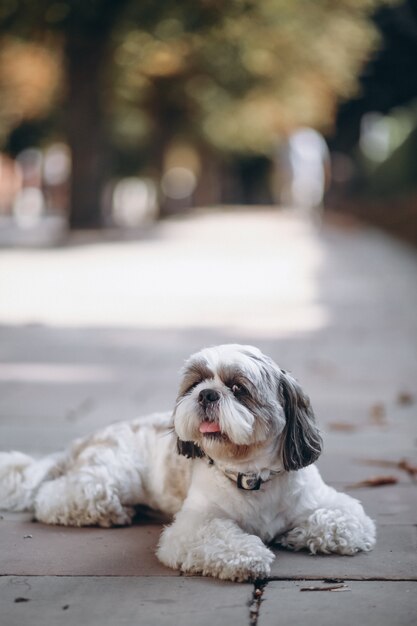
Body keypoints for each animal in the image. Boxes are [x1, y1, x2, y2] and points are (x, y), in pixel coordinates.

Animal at [0, 344, 376, 576]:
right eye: (196, 383)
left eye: (238, 389)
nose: (207, 394)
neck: (252, 476)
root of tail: (82, 441)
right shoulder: (195, 526)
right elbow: (221, 538)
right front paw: (250, 557)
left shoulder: (335, 507)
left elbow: (342, 525)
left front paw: (295, 535)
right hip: (109, 478)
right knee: (55, 496)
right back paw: (111, 512)